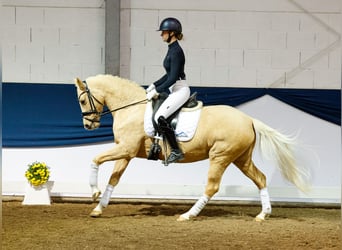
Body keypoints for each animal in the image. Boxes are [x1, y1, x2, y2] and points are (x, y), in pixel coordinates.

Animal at [75, 73, 310, 221]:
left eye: (82, 101)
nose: (88, 125)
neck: (132, 108)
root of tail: (248, 119)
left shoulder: (125, 149)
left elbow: (95, 160)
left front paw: (94, 192)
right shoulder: (126, 152)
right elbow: (114, 179)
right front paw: (98, 208)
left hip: (220, 156)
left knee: (212, 186)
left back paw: (188, 215)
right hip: (241, 158)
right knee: (260, 178)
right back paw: (263, 215)